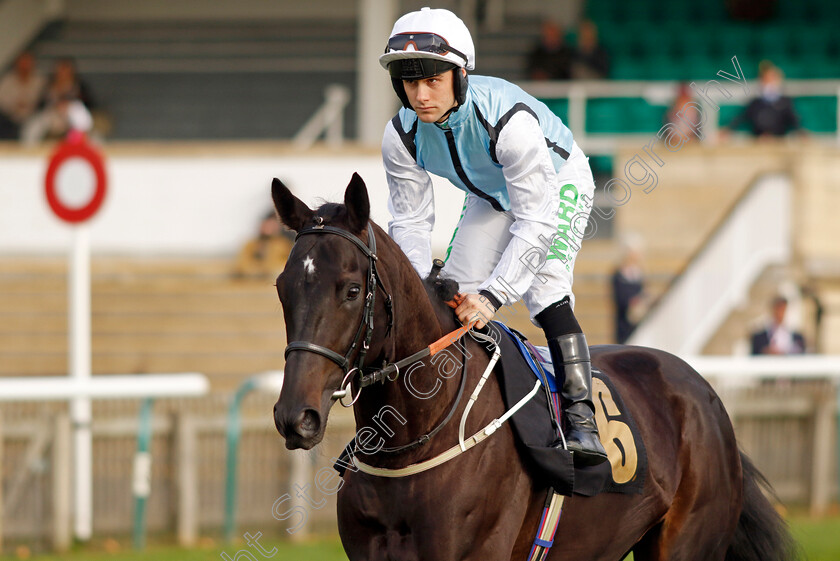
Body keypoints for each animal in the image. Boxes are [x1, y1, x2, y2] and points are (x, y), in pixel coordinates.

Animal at [270, 173, 796, 556]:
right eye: (282, 287)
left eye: (351, 290)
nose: (296, 416)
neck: (413, 439)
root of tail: (702, 392)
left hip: (687, 544)